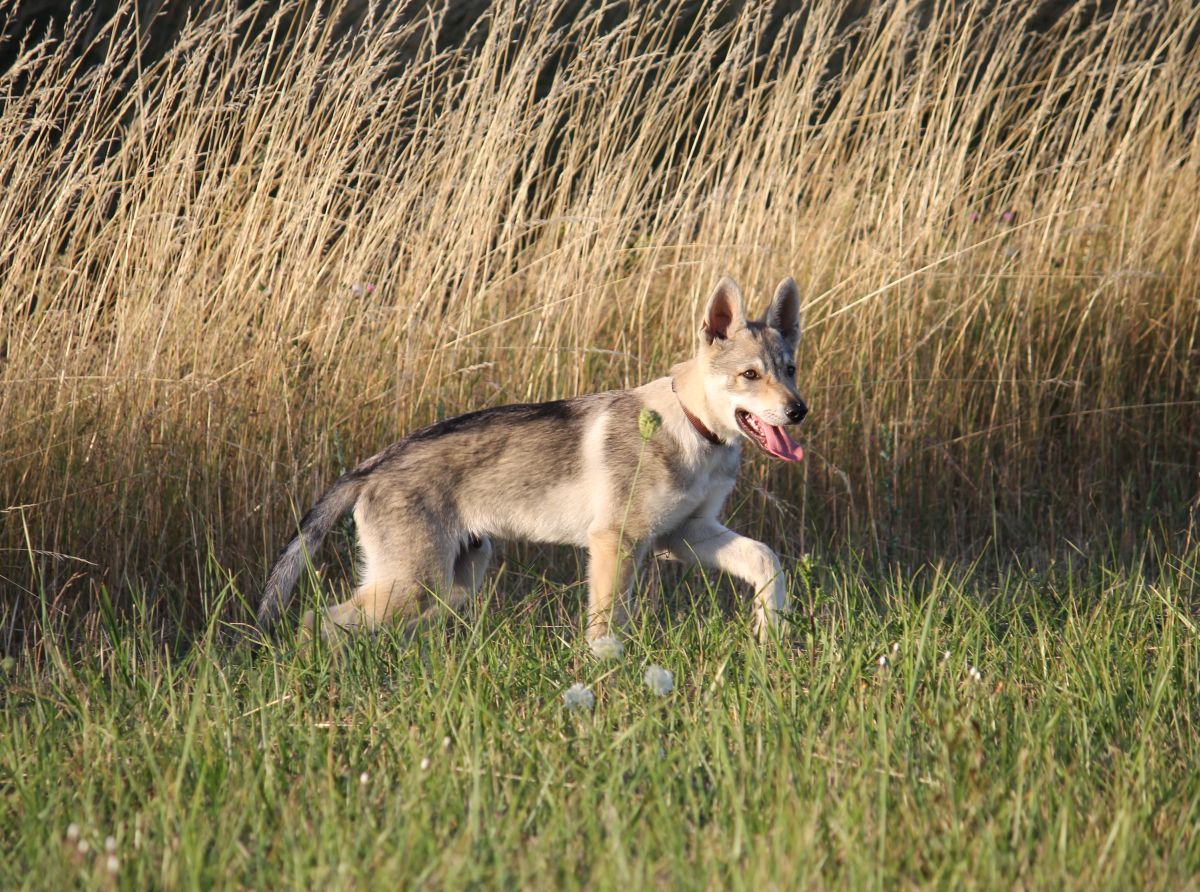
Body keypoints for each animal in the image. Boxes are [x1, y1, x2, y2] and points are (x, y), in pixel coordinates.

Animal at [258, 276, 811, 643]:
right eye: (750, 375)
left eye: (789, 369)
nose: (798, 411)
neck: (697, 432)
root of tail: (372, 464)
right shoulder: (617, 542)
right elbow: (605, 629)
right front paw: (606, 678)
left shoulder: (684, 536)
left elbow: (767, 561)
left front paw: (771, 638)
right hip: (413, 588)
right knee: (313, 622)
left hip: (449, 588)